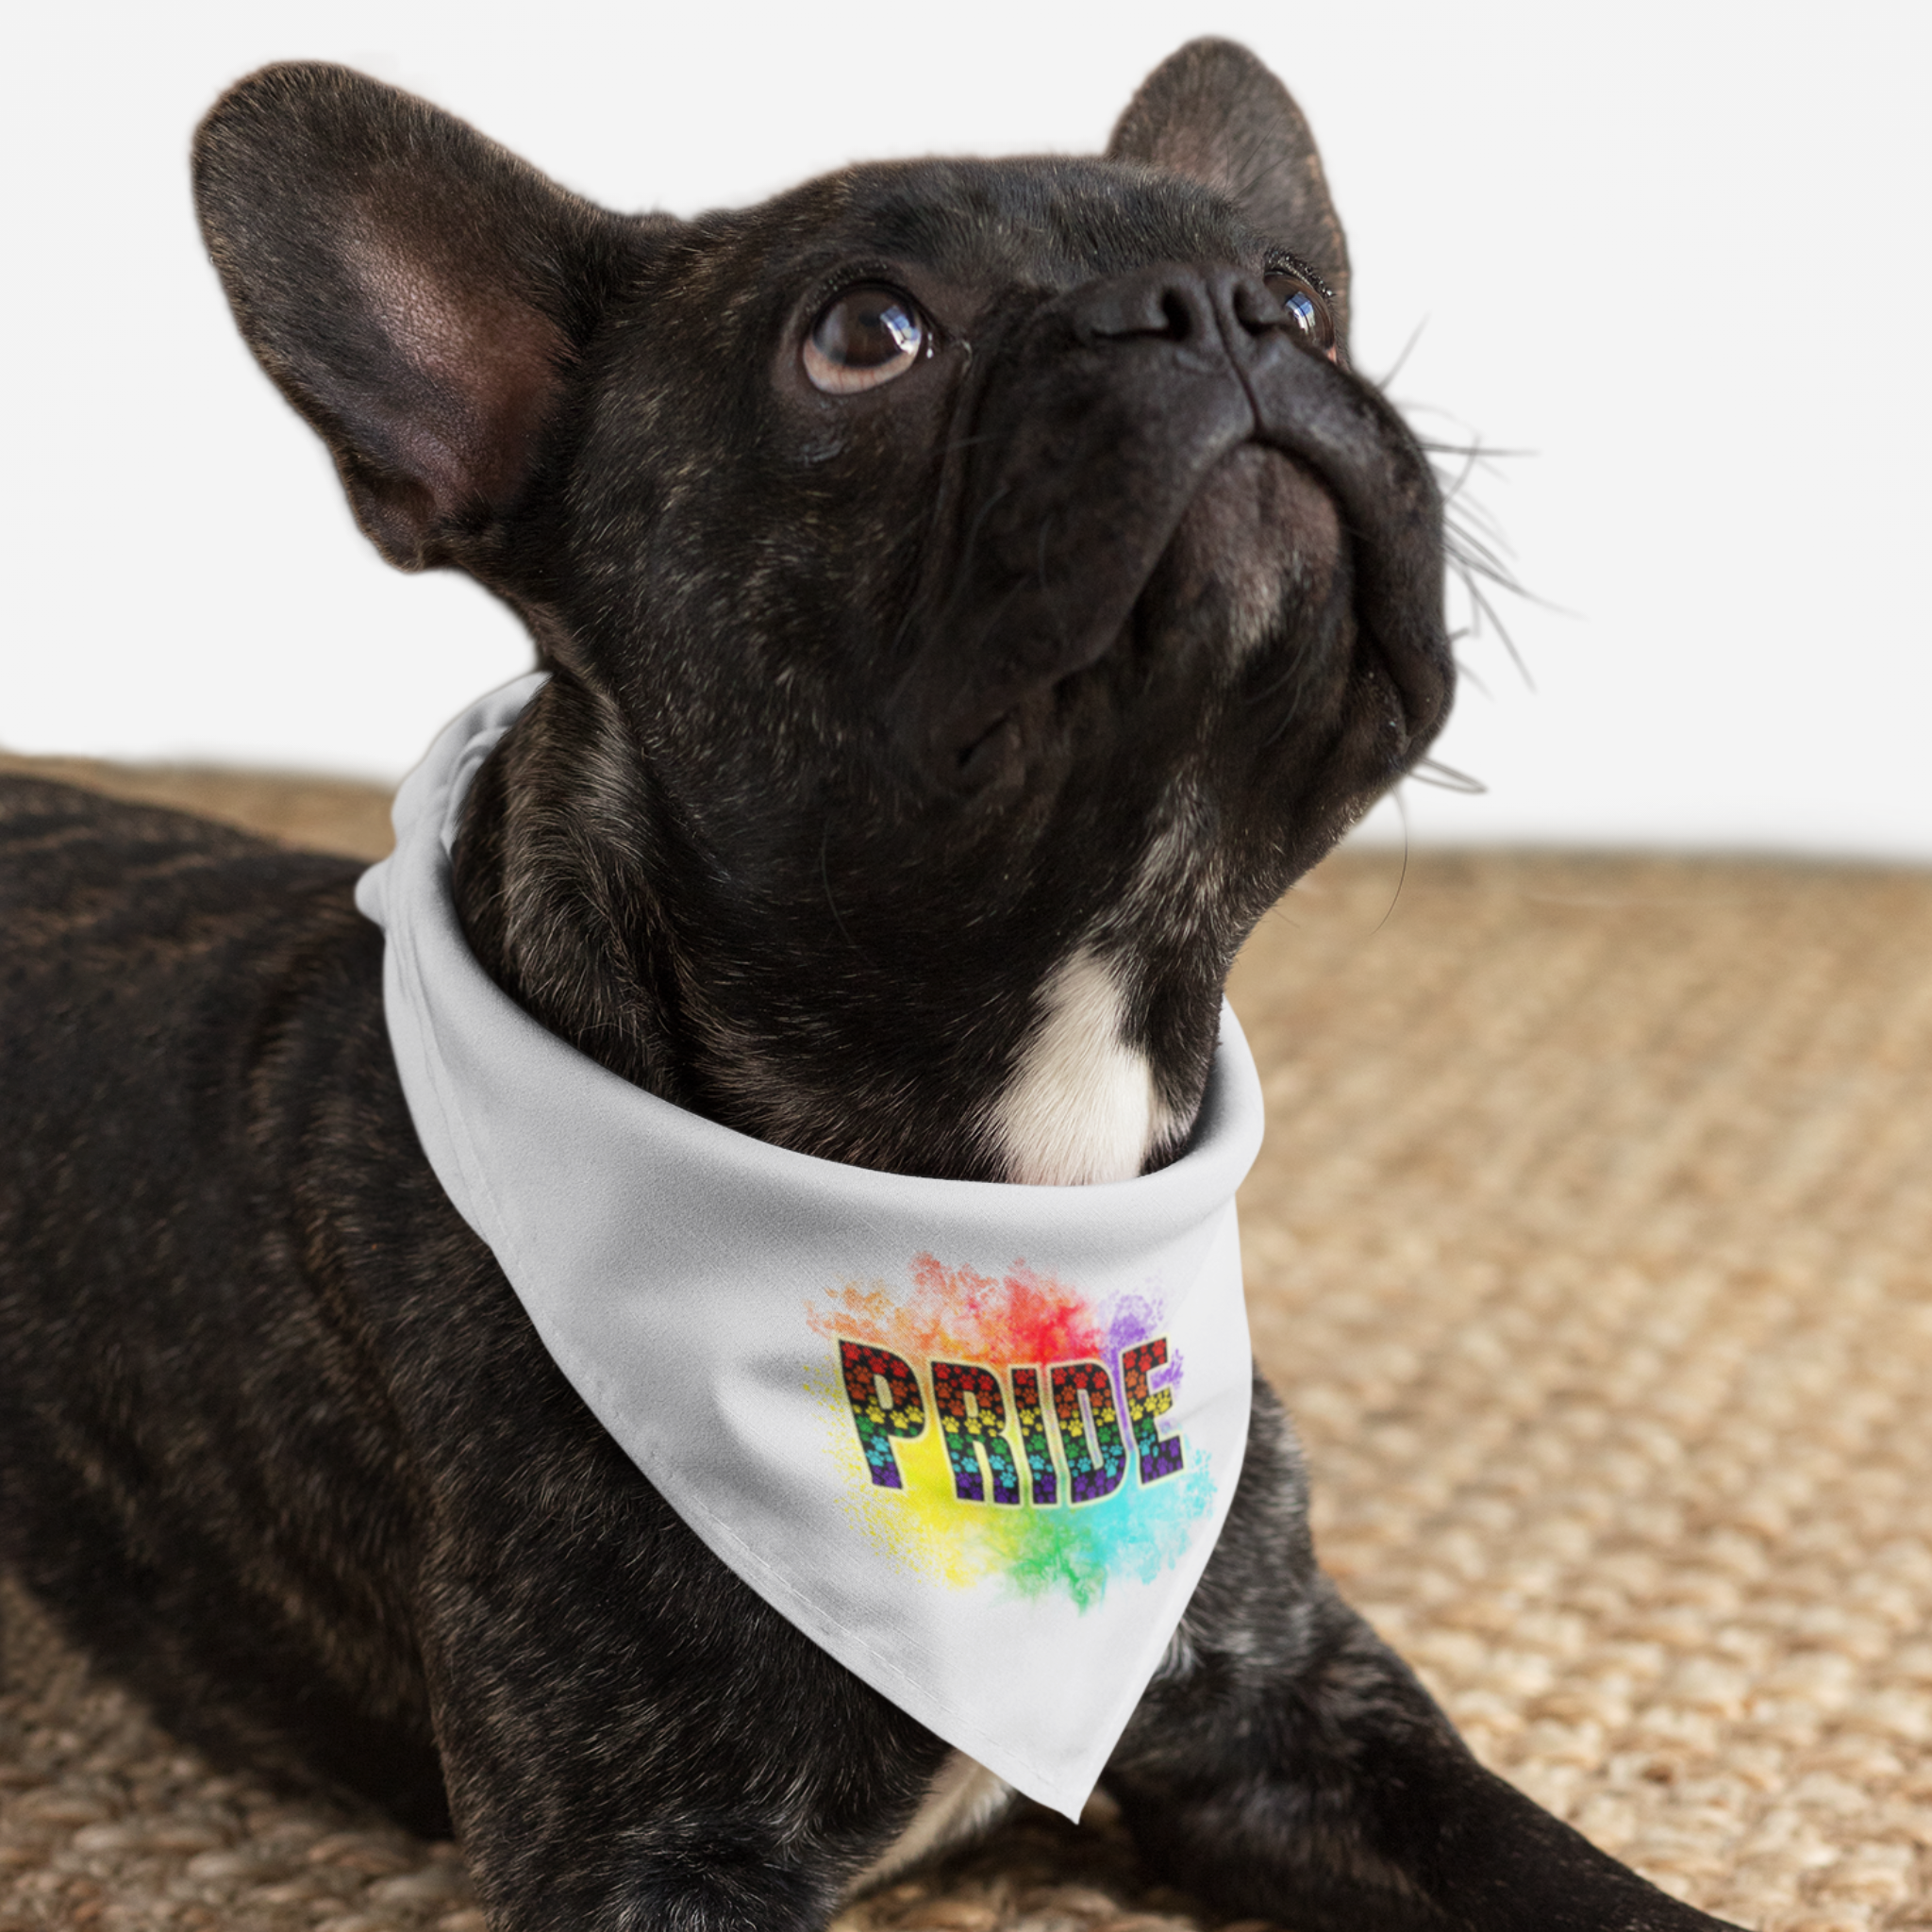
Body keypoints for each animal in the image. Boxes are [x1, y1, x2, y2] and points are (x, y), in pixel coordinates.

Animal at [0, 34, 1746, 1932]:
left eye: (1298, 295)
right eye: (864, 335)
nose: (1218, 308)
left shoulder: (1298, 1717)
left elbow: (1577, 1878)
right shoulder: (651, 1862)